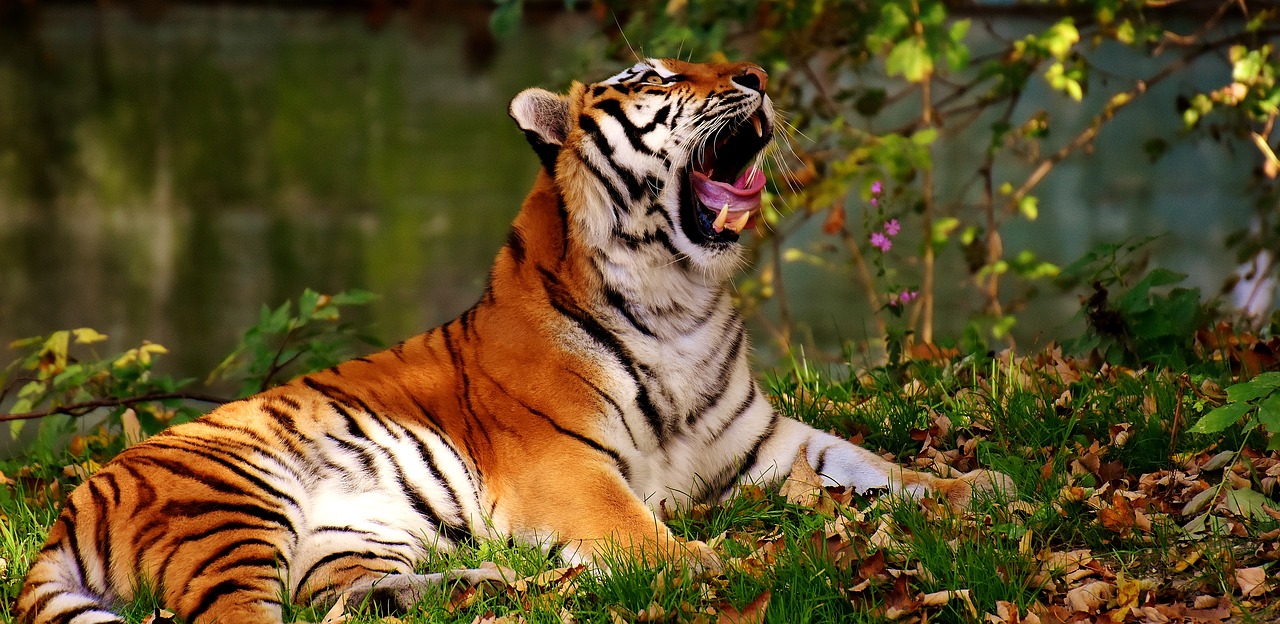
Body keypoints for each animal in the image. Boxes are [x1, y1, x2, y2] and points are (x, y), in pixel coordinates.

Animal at [15, 59, 1013, 624]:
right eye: (655, 78)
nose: (759, 78)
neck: (683, 300)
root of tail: (72, 501)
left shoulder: (762, 440)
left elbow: (870, 460)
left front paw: (977, 487)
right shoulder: (563, 464)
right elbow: (631, 524)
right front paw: (699, 564)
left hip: (351, 533)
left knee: (331, 599)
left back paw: (490, 584)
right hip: (233, 509)